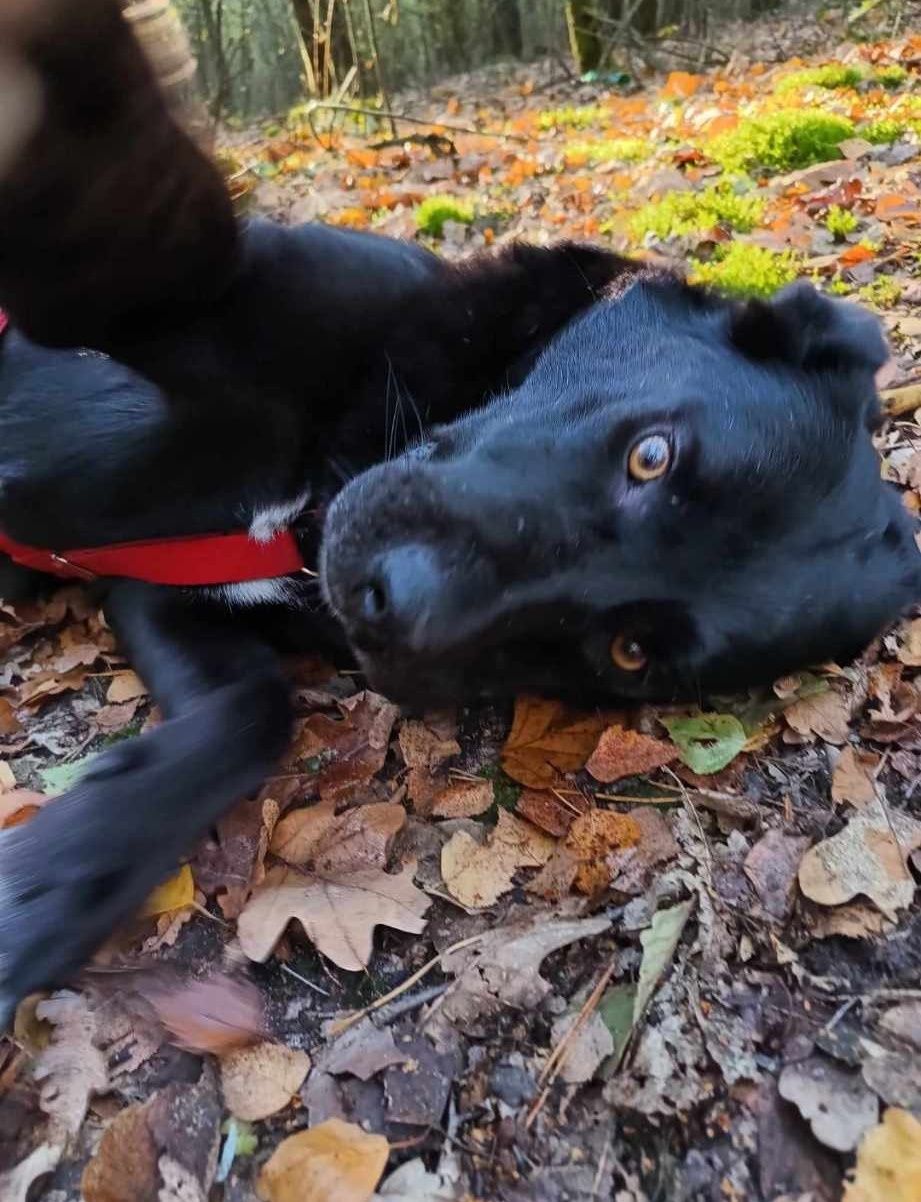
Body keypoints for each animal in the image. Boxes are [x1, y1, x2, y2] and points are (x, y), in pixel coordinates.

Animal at [0, 0, 918, 1019]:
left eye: (627, 651)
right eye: (650, 455)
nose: (385, 604)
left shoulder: (160, 593)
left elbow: (250, 712)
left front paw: (52, 887)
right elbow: (173, 250)